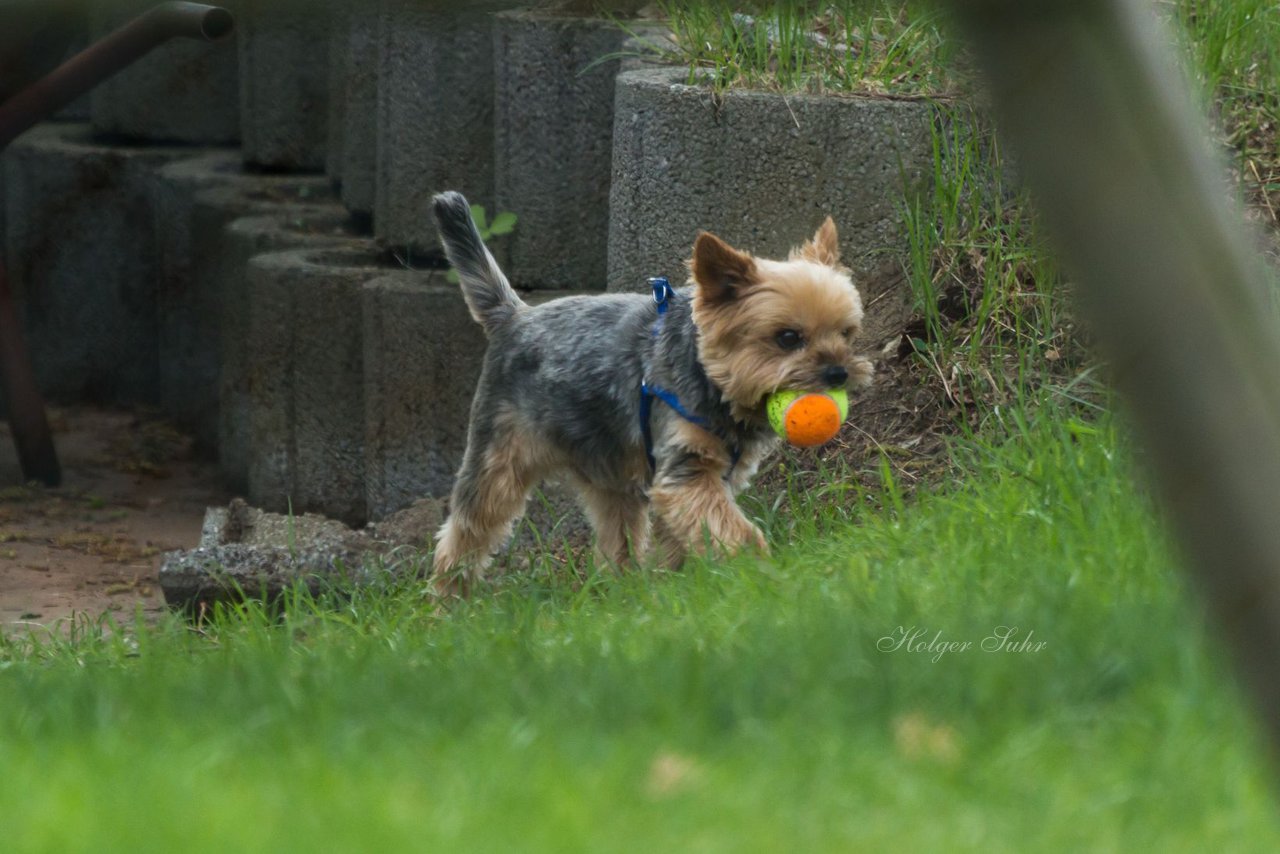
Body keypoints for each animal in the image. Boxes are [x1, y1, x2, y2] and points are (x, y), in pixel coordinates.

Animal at [430, 193, 870, 594]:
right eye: (788, 338)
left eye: (847, 333)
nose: (839, 373)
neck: (713, 382)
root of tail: (514, 315)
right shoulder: (686, 473)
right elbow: (727, 526)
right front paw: (757, 568)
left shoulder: (695, 477)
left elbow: (680, 537)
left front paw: (672, 586)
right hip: (498, 457)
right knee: (466, 529)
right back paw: (448, 600)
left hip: (608, 466)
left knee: (615, 532)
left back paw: (623, 592)